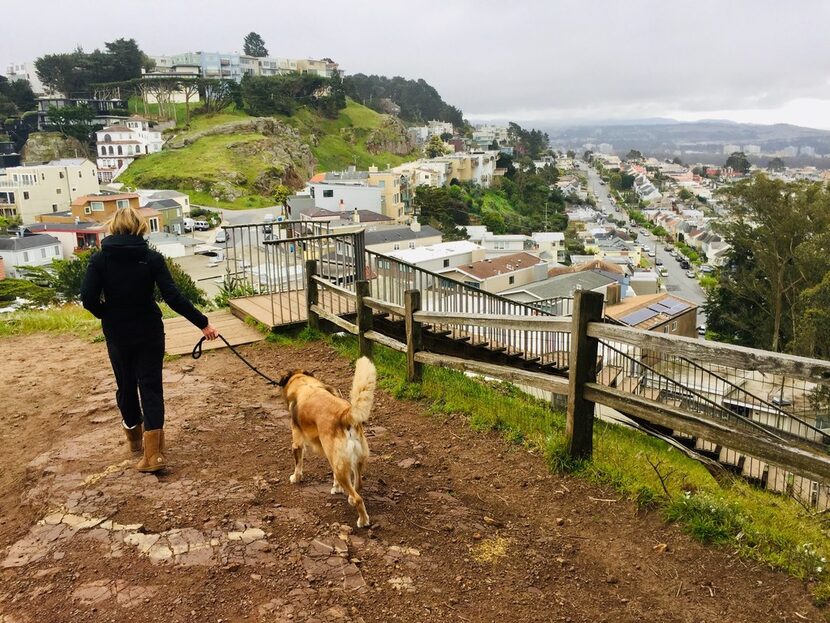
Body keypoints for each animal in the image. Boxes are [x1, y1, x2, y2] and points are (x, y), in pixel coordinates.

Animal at [280, 358, 376, 528]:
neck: (303, 383)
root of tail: (344, 415)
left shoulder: (297, 443)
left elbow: (298, 464)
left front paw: (295, 477)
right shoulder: (334, 457)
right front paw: (336, 488)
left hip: (341, 465)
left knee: (358, 498)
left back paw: (363, 520)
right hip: (354, 459)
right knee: (358, 485)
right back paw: (351, 498)